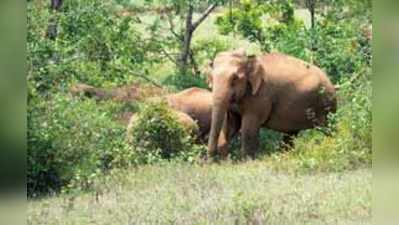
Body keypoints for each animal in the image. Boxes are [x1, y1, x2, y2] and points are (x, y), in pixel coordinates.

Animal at [206, 49, 338, 158]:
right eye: (211, 77)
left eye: (235, 78)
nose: (210, 159)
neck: (249, 59)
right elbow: (232, 125)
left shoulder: (260, 96)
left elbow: (248, 128)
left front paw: (246, 161)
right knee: (291, 134)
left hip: (326, 104)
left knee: (329, 129)